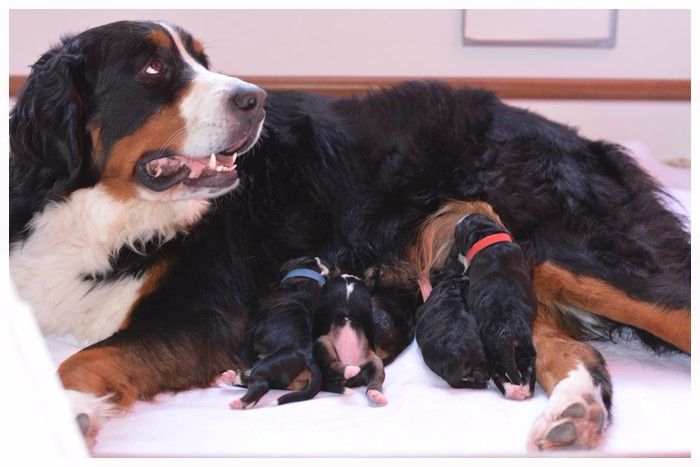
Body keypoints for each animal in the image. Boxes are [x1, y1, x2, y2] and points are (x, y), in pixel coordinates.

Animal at [312, 270, 388, 406]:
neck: (348, 278)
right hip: (324, 342)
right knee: (330, 368)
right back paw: (350, 371)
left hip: (375, 360)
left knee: (376, 377)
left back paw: (375, 394)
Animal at [456, 214, 540, 400]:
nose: (461, 218)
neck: (487, 238)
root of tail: (507, 332)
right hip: (525, 347)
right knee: (528, 368)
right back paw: (523, 389)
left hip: (492, 352)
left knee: (498, 373)